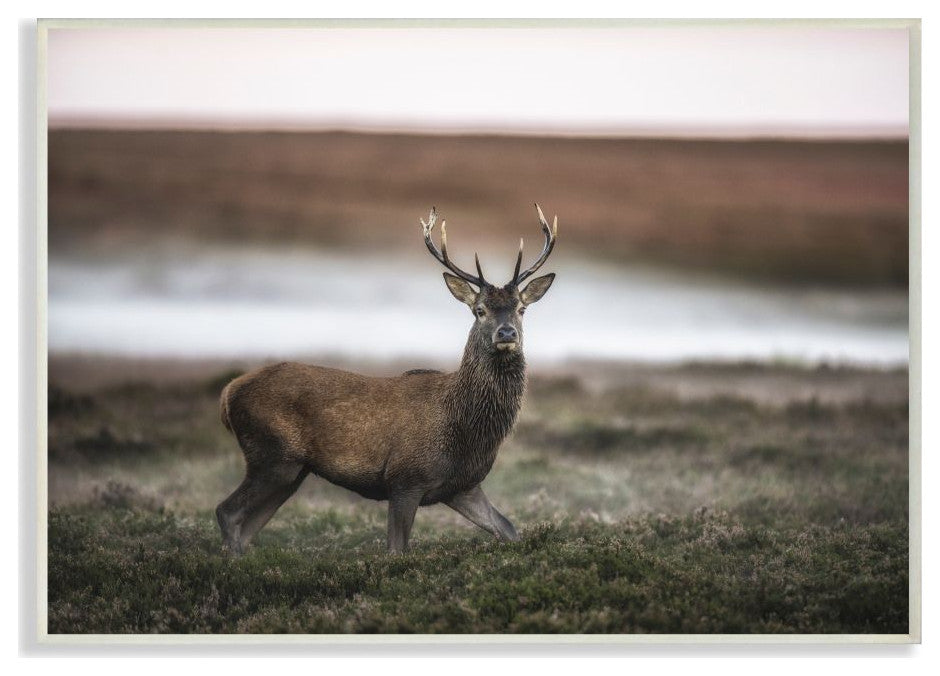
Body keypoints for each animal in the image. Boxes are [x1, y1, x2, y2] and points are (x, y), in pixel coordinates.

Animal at [215, 204, 558, 554]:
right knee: (227, 512)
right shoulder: (405, 477)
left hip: (292, 470)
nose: (506, 333)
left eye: (521, 309)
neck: (467, 430)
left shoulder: (462, 486)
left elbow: (509, 529)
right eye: (479, 310)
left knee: (247, 525)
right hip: (271, 454)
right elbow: (396, 550)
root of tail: (227, 393)